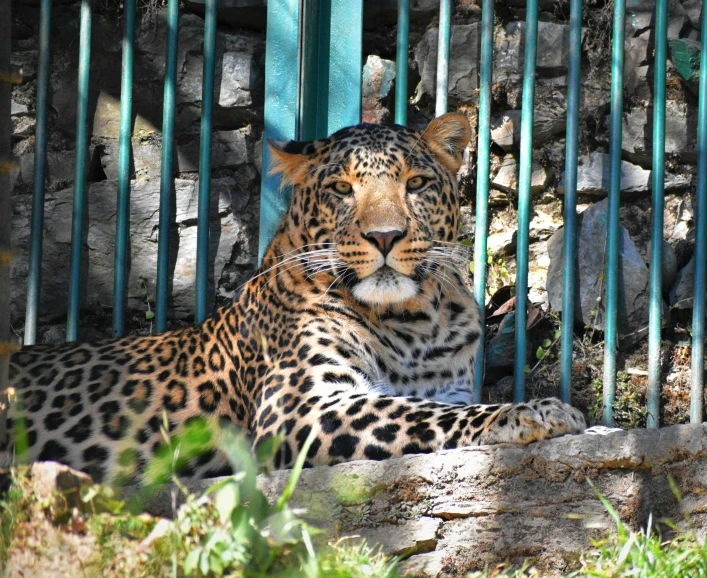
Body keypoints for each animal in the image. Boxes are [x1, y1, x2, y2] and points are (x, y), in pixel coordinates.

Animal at [4, 112, 588, 482]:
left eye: (417, 184)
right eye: (341, 190)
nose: (384, 237)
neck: (415, 322)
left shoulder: (449, 388)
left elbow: (433, 407)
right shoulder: (301, 407)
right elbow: (420, 415)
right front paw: (533, 412)